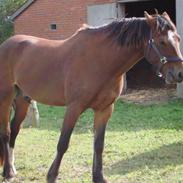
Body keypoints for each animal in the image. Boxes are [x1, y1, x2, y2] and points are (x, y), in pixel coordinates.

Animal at [0, 11, 183, 183]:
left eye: (178, 39)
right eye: (162, 42)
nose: (179, 74)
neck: (99, 61)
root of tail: (7, 44)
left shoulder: (104, 110)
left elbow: (98, 145)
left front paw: (98, 177)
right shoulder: (74, 108)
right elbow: (63, 143)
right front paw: (52, 176)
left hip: (23, 101)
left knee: (14, 131)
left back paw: (11, 169)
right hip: (6, 98)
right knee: (6, 133)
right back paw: (8, 173)